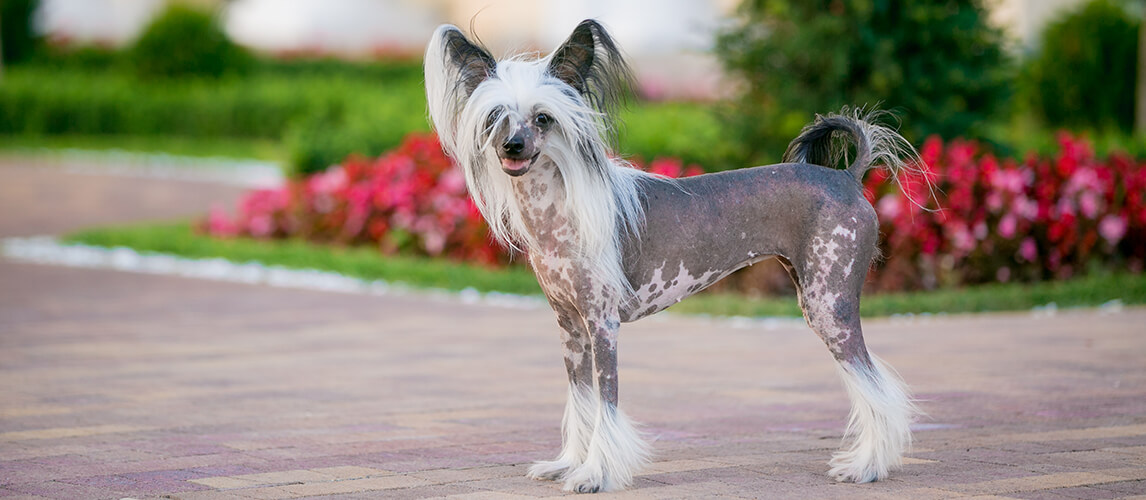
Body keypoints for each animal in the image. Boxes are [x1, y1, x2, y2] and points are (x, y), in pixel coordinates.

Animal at [428, 18, 921, 493]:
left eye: (543, 118)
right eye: (496, 117)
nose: (512, 146)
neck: (559, 211)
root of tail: (848, 177)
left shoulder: (603, 325)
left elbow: (606, 403)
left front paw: (596, 474)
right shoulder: (570, 326)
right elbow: (580, 400)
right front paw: (568, 464)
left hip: (829, 305)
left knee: (875, 385)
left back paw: (868, 467)